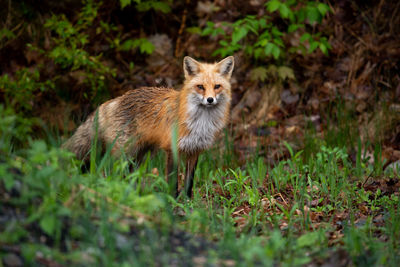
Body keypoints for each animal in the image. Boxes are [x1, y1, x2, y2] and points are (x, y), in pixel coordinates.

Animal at [64, 56, 234, 197]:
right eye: (200, 87)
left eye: (217, 86)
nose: (210, 100)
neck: (201, 123)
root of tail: (114, 100)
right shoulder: (172, 149)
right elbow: (172, 180)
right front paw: (173, 201)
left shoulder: (195, 150)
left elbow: (189, 182)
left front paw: (187, 201)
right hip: (124, 152)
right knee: (113, 171)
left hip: (141, 153)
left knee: (130, 174)